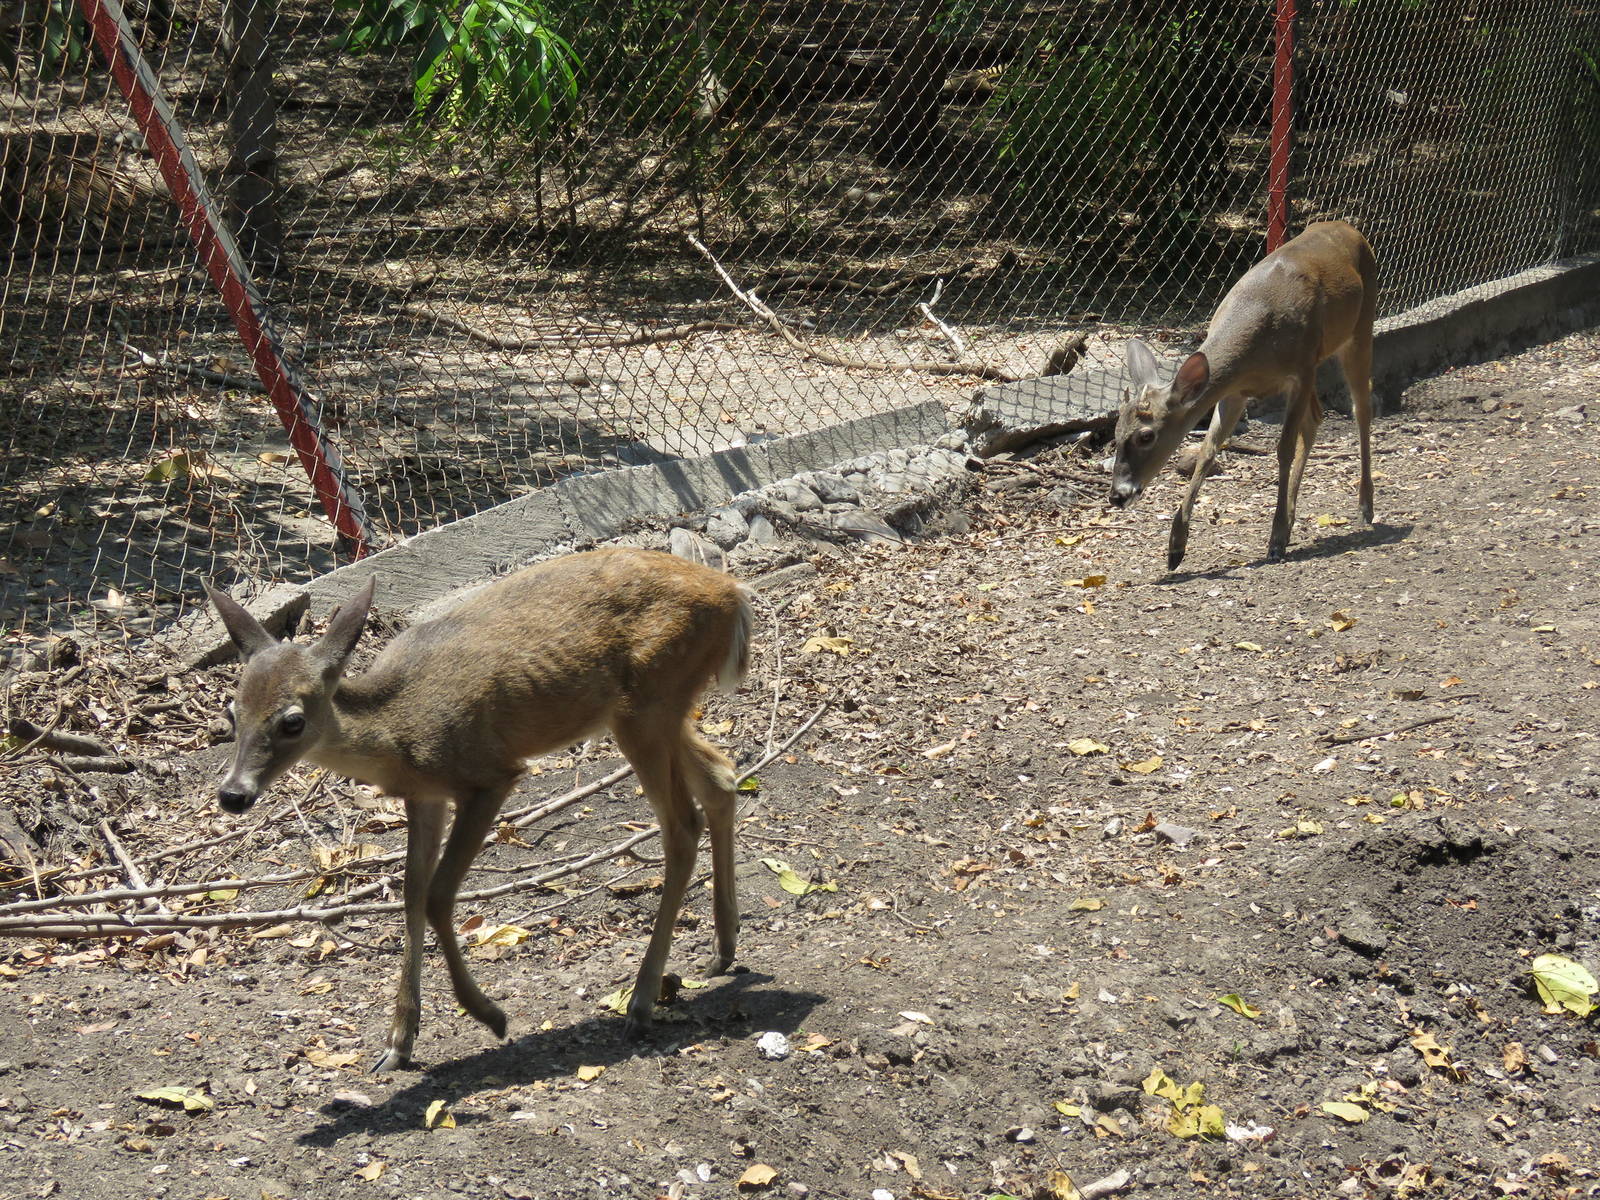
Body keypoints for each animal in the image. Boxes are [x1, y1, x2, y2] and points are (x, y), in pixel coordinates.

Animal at [205, 547, 754, 1072]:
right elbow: (412, 893)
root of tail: (734, 594)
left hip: (648, 704)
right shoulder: (424, 795)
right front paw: (398, 1044)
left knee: (682, 824)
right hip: (657, 711)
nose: (233, 795)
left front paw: (489, 1015)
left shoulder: (489, 777)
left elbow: (438, 895)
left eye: (293, 721)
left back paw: (640, 1004)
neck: (397, 731)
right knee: (722, 778)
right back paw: (722, 950)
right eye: (232, 710)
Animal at [1108, 220, 1378, 571]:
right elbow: (1207, 451)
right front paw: (1175, 547)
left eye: (1145, 436)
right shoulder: (1233, 392)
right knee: (1316, 419)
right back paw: (1294, 519)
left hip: (1360, 327)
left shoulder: (1301, 368)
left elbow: (1283, 449)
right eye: (1115, 434)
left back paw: (1364, 507)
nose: (1117, 495)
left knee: (1362, 407)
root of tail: (1347, 227)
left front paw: (1275, 541)